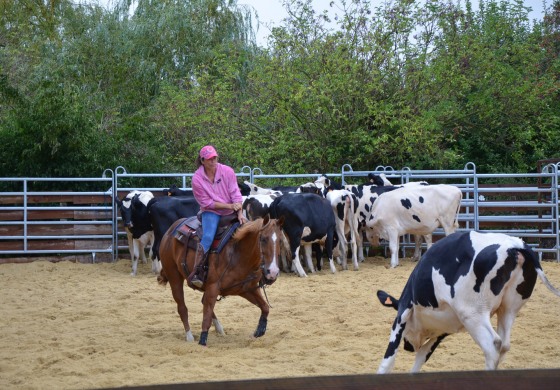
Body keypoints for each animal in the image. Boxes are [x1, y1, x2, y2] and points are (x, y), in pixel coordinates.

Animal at [156, 215, 284, 346]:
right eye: (263, 239)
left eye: (280, 240)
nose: (273, 272)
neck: (239, 253)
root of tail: (171, 229)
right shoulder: (213, 287)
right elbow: (206, 317)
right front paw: (202, 342)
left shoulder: (246, 289)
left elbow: (265, 307)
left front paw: (259, 330)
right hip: (174, 277)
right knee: (182, 307)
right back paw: (190, 336)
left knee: (203, 302)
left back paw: (219, 329)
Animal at [376, 230, 560, 374]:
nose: (408, 347)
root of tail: (516, 246)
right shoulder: (443, 330)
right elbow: (422, 356)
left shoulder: (403, 312)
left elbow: (388, 359)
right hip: (509, 309)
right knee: (504, 344)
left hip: (472, 314)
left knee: (493, 345)